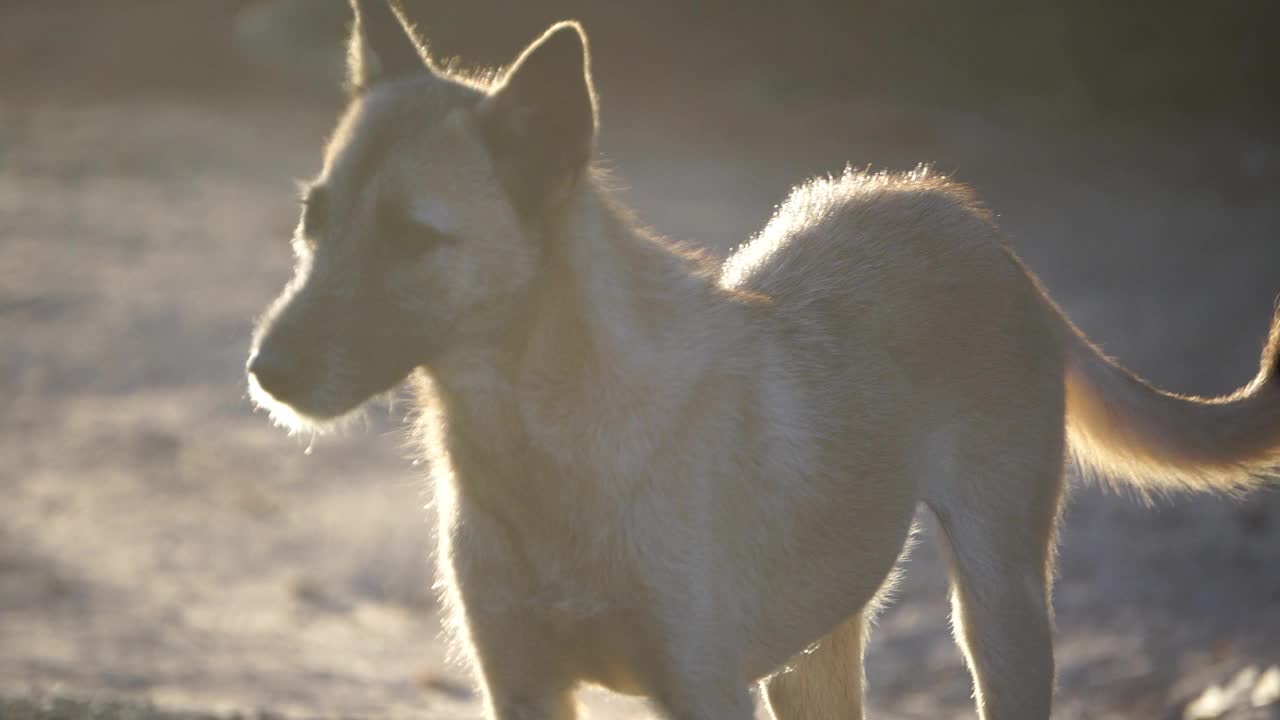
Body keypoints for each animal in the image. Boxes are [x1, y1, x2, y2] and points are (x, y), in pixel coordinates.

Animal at [247, 2, 1280, 712]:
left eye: (413, 239)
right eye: (314, 221)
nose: (265, 373)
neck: (543, 449)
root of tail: (968, 220)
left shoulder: (702, 690)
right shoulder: (525, 687)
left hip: (999, 613)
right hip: (815, 655)